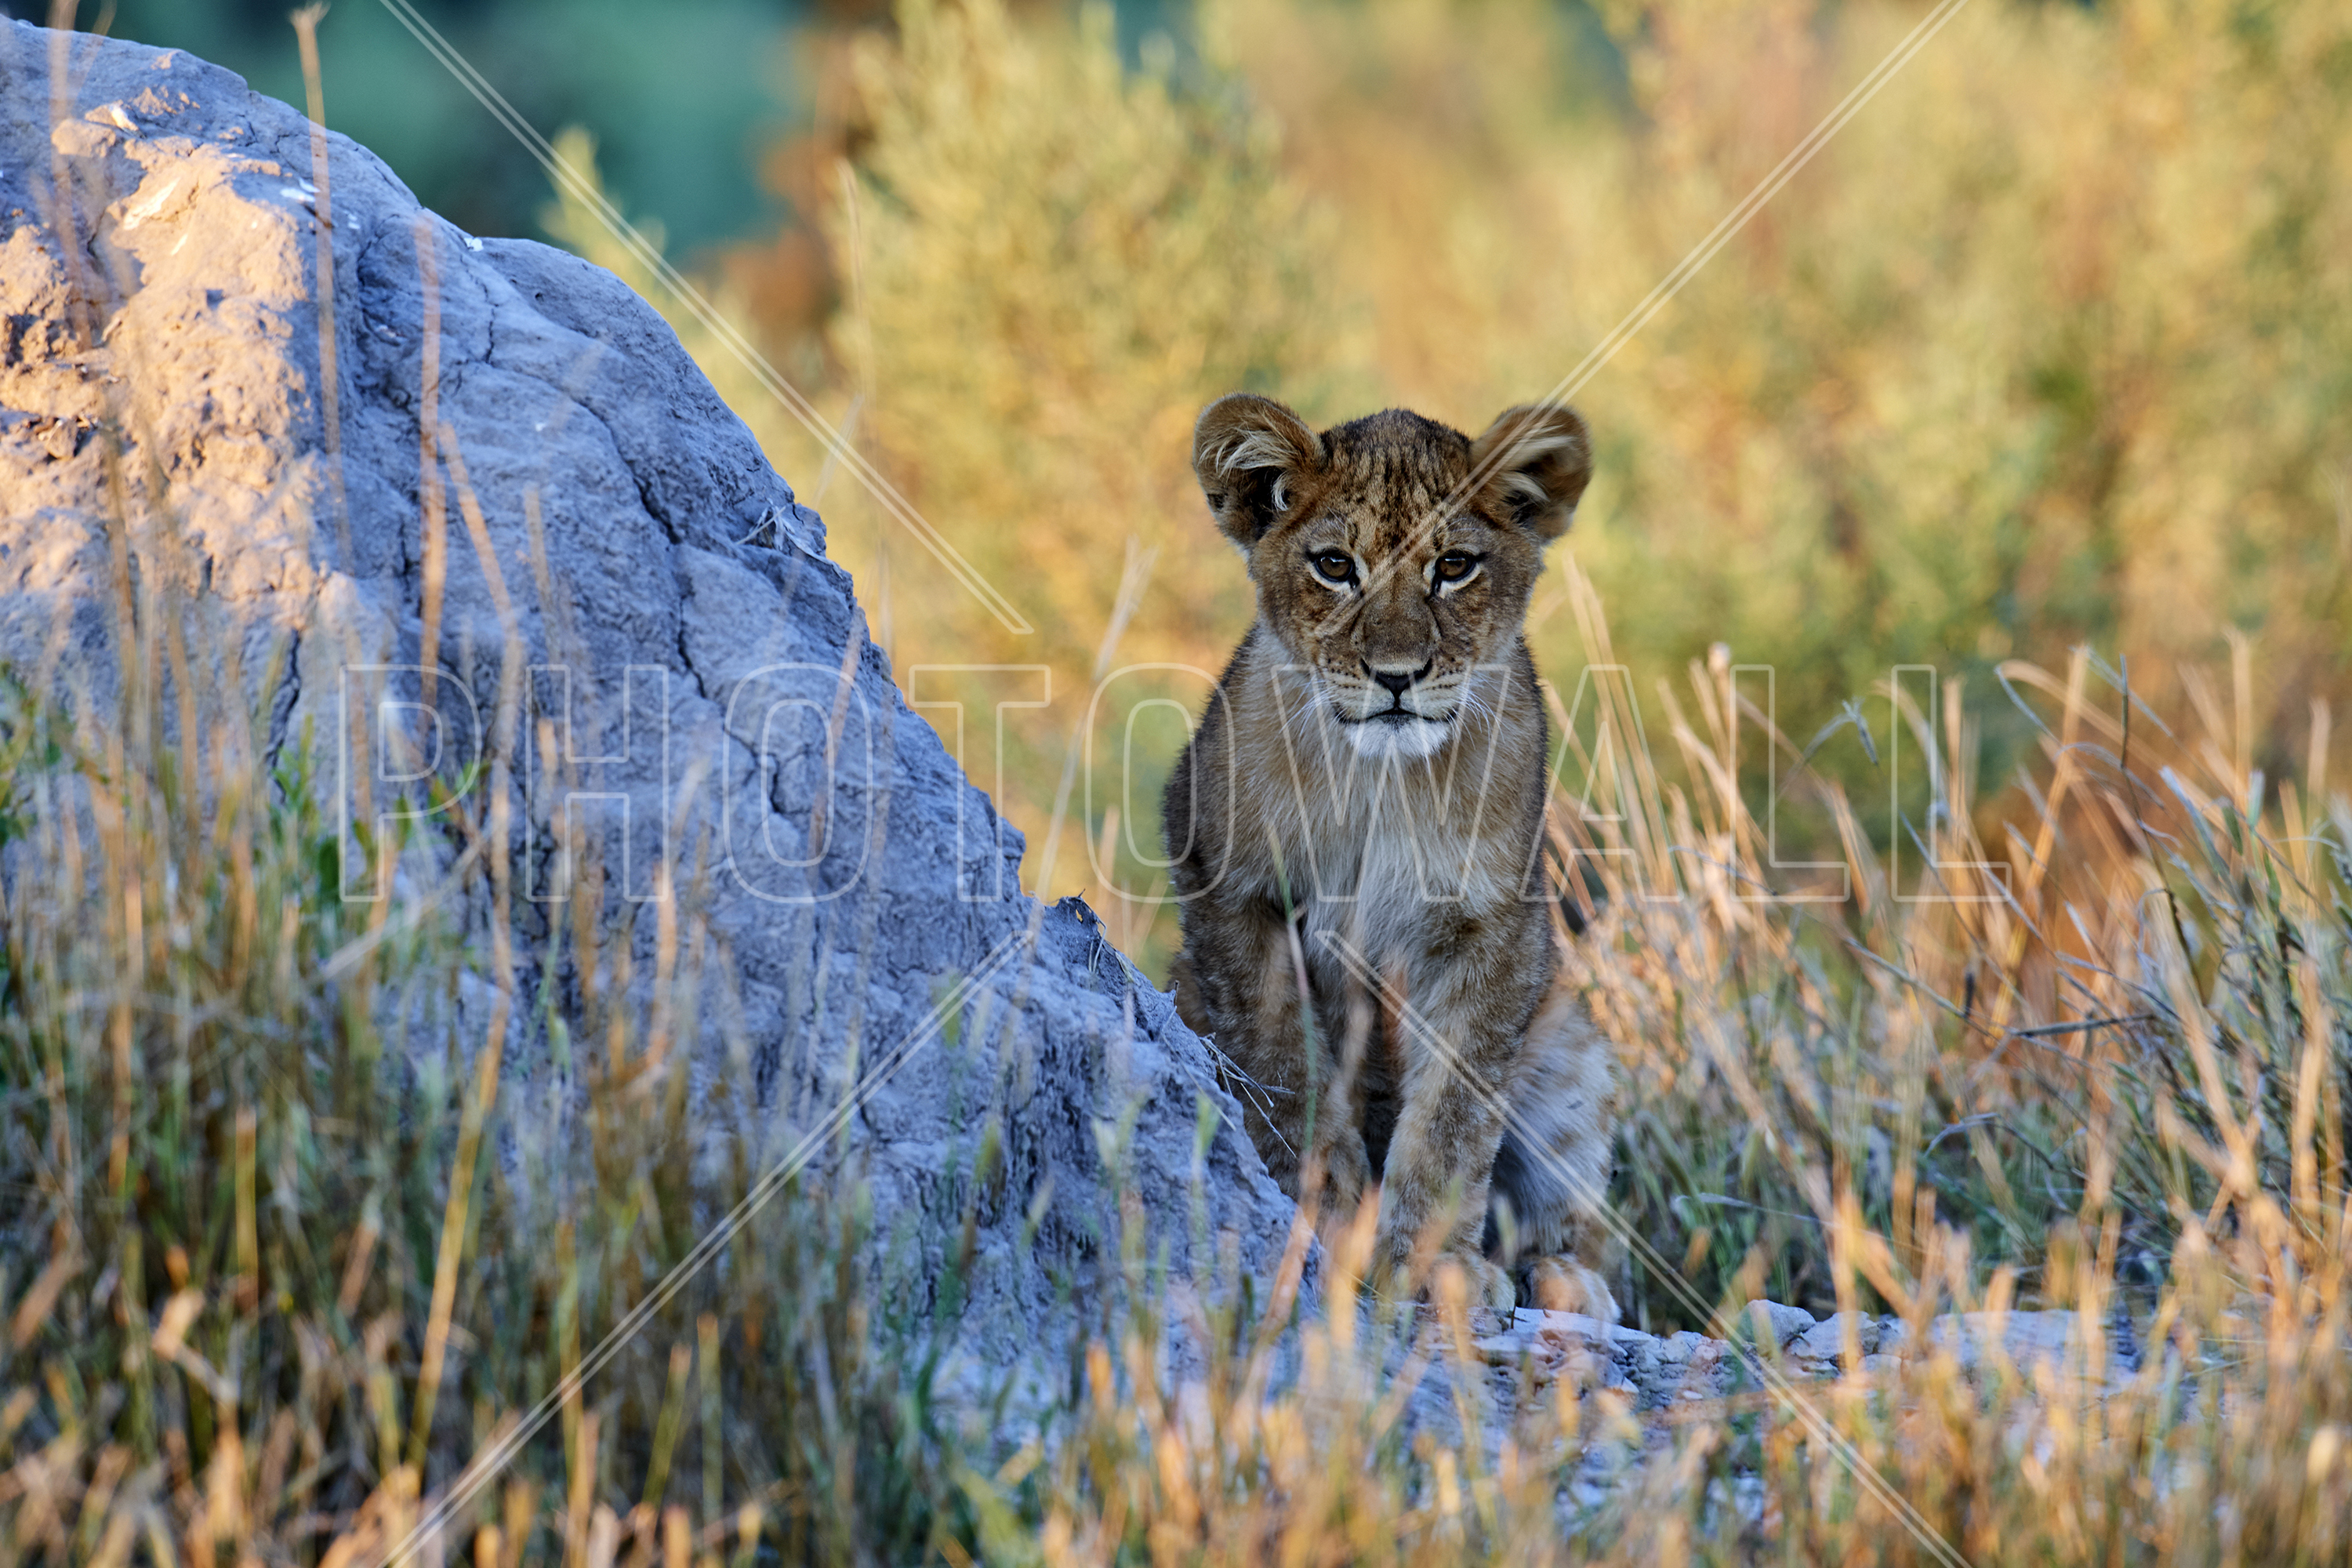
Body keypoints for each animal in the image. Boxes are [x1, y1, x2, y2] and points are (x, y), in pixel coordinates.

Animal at [1162, 392, 1618, 1319]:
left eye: (1455, 566)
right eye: (1336, 565)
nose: (1398, 675)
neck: (1379, 778)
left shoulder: (1497, 927)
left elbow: (1453, 1116)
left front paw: (1431, 1266)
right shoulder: (1230, 884)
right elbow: (1285, 1067)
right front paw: (1328, 1219)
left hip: (1570, 1046)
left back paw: (1565, 1281)